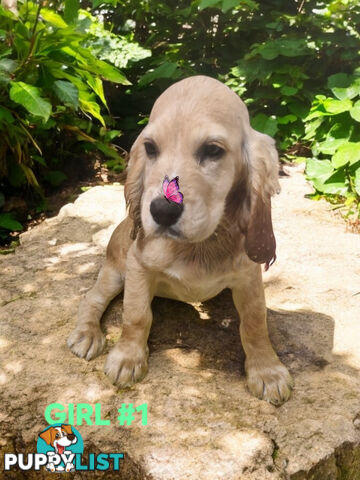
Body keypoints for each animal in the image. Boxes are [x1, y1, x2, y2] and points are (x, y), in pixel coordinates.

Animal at [67, 75, 292, 404]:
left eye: (213, 150)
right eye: (150, 148)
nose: (162, 210)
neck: (198, 246)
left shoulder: (248, 277)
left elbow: (254, 322)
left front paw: (267, 371)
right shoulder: (138, 266)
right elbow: (136, 315)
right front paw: (127, 358)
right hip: (115, 270)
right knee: (91, 298)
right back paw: (87, 334)